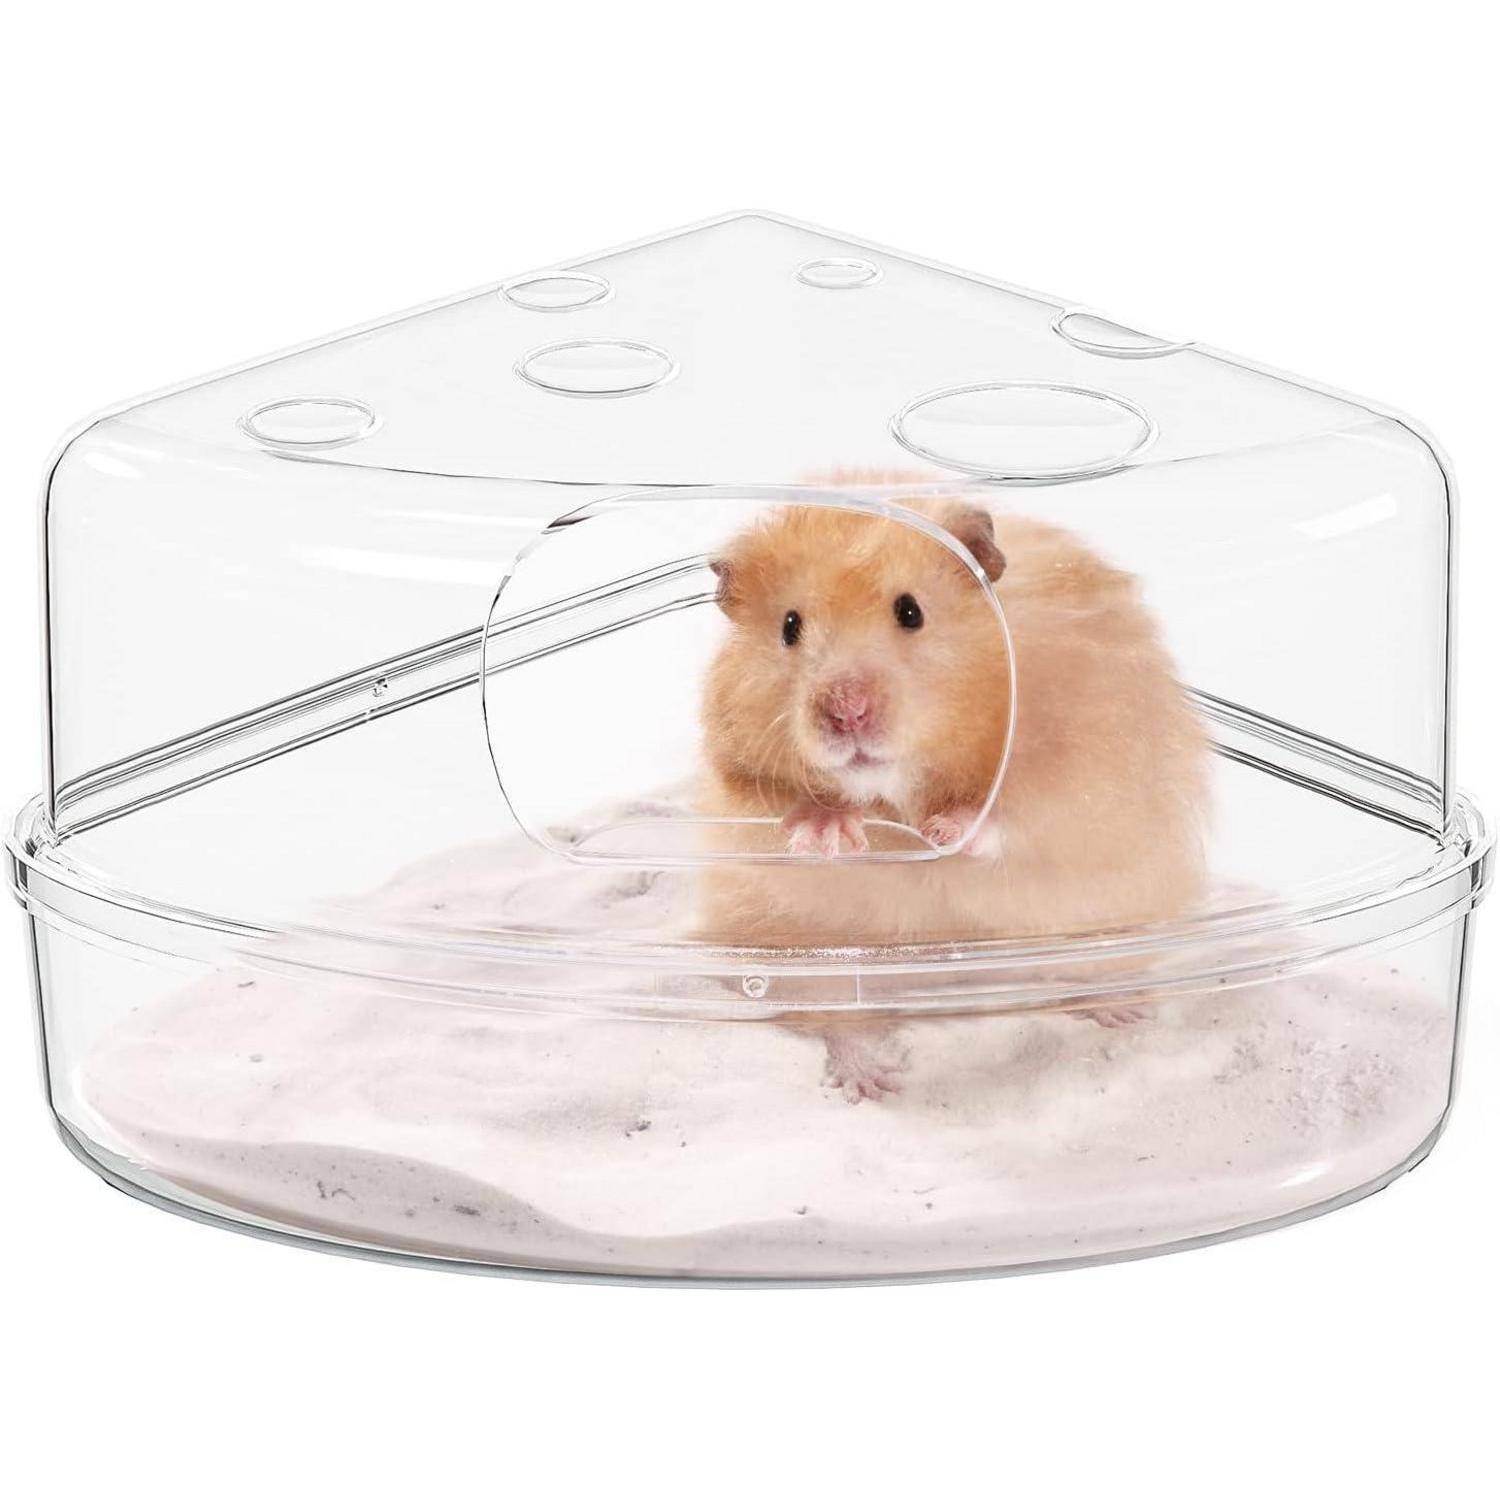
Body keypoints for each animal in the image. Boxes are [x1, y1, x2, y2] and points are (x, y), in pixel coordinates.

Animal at [695, 477, 1210, 1100]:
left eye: (911, 611)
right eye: (789, 626)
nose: (846, 711)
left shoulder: (1089, 756)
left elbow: (1025, 809)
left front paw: (945, 831)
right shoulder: (741, 780)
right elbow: (777, 808)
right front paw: (829, 832)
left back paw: (1126, 1012)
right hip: (805, 958)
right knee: (841, 1021)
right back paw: (873, 1081)